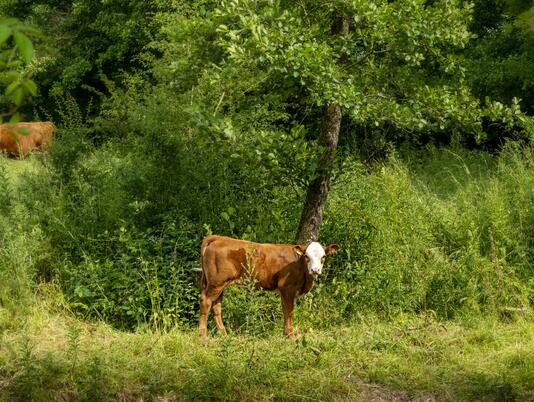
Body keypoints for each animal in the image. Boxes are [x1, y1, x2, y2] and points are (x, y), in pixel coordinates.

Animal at [201, 234, 340, 338]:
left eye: (323, 256)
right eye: (306, 256)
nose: (315, 270)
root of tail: (218, 238)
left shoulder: (284, 291)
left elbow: (285, 311)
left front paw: (285, 334)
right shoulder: (288, 288)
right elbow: (289, 311)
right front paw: (290, 335)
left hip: (219, 284)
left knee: (216, 306)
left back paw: (225, 335)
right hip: (217, 282)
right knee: (206, 301)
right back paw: (203, 338)